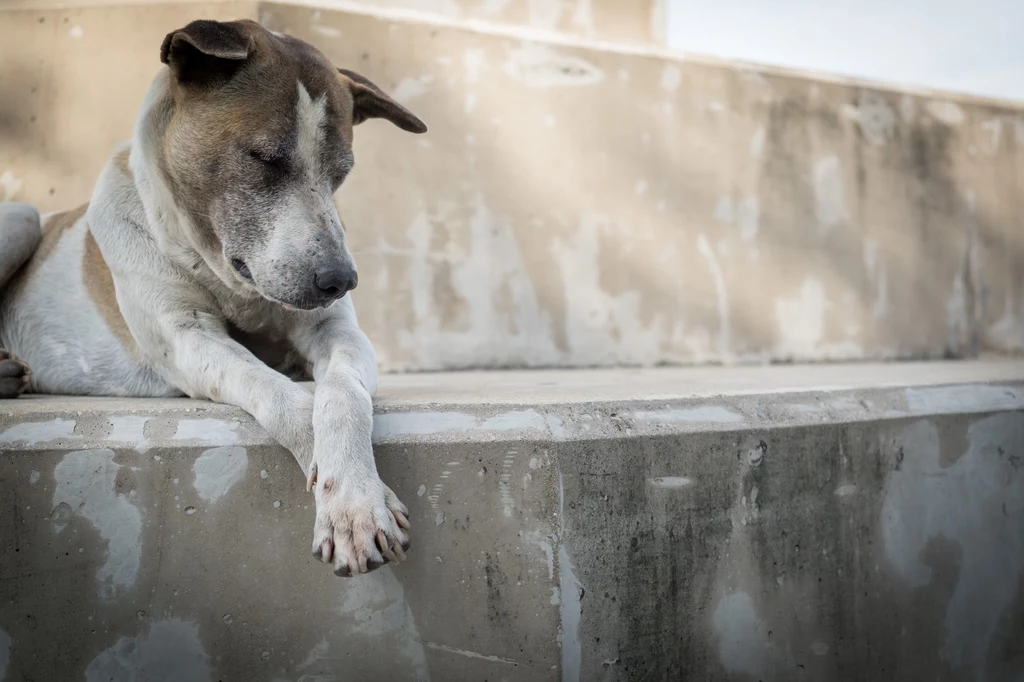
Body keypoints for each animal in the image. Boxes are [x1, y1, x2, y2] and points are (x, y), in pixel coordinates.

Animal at [0, 18, 428, 577]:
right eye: (264, 158)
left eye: (341, 174)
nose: (341, 280)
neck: (225, 276)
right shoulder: (187, 340)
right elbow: (282, 397)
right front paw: (343, 498)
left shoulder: (338, 331)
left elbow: (341, 397)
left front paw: (355, 497)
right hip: (22, 215)